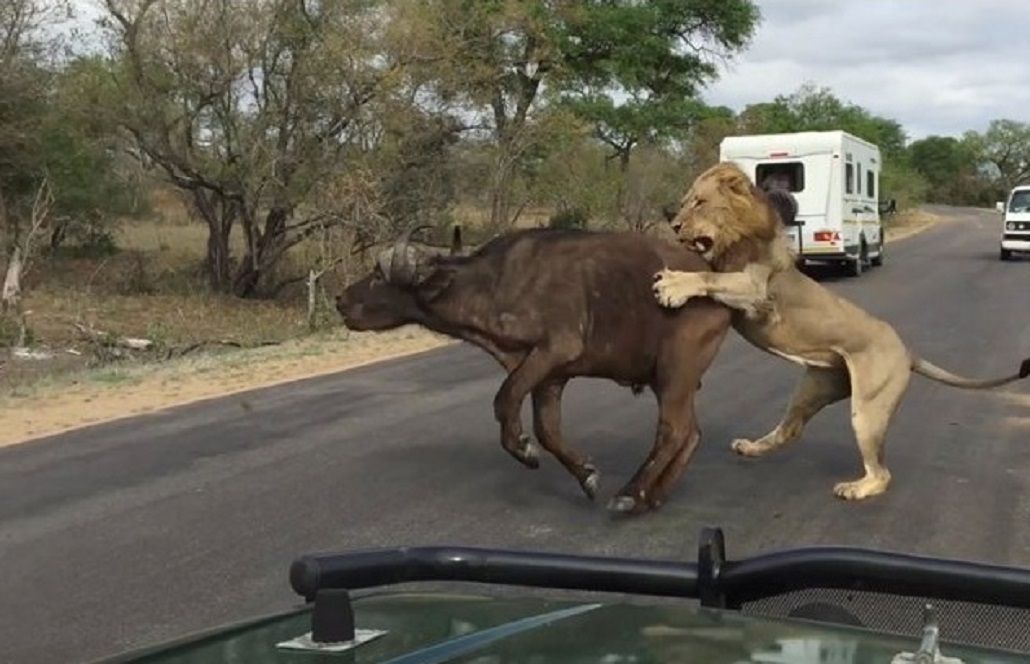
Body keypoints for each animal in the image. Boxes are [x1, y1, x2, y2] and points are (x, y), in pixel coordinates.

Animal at [337, 225, 733, 510]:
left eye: (377, 275)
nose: (340, 299)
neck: (494, 282)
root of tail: (714, 284)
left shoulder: (552, 351)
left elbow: (505, 398)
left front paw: (524, 450)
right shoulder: (551, 377)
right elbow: (548, 430)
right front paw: (586, 474)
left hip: (675, 371)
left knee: (672, 431)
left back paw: (630, 494)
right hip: (669, 380)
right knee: (691, 433)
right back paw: (655, 494)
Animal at [650, 162, 1030, 500]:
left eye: (700, 202)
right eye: (684, 202)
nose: (674, 225)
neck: (734, 236)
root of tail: (907, 350)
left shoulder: (757, 291)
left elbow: (709, 276)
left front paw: (673, 284)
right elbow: (710, 273)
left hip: (869, 408)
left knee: (882, 473)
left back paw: (855, 489)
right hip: (814, 388)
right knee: (790, 430)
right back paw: (752, 447)